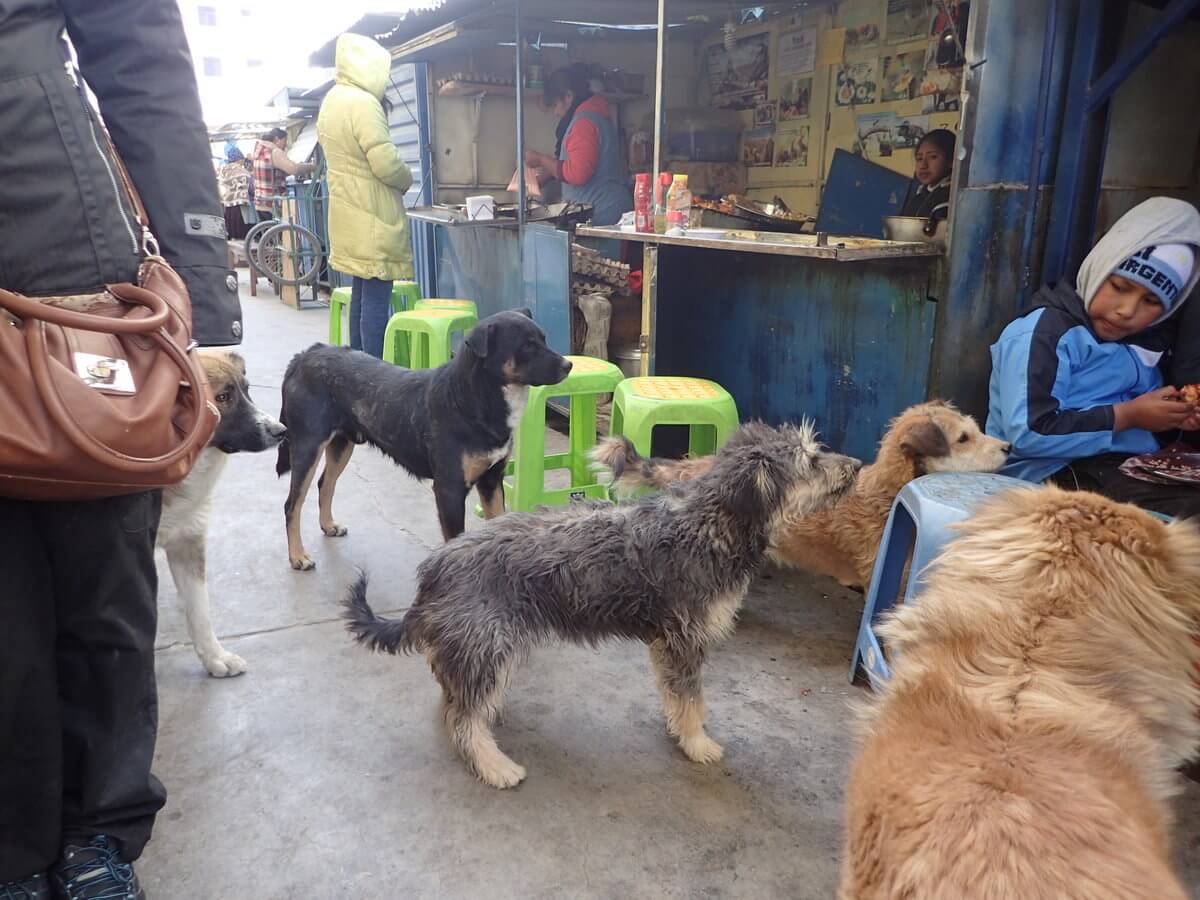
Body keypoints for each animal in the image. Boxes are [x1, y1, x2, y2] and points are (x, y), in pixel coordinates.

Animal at [158, 352, 284, 676]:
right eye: (223, 397)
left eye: (247, 390)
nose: (281, 431)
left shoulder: (187, 542)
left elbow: (200, 611)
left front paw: (215, 657)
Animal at [278, 307, 568, 566]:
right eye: (527, 346)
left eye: (543, 337)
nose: (569, 364)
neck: (470, 399)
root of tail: (304, 355)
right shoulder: (449, 490)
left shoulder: (491, 480)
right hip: (307, 446)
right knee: (293, 503)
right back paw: (297, 556)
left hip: (342, 444)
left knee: (325, 484)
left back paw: (328, 525)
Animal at [343, 422, 859, 787]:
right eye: (811, 459)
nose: (856, 464)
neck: (709, 522)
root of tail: (434, 570)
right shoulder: (685, 638)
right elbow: (691, 697)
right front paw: (697, 743)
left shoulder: (667, 642)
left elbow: (676, 695)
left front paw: (680, 731)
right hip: (489, 643)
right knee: (463, 720)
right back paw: (495, 766)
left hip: (474, 646)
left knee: (454, 697)